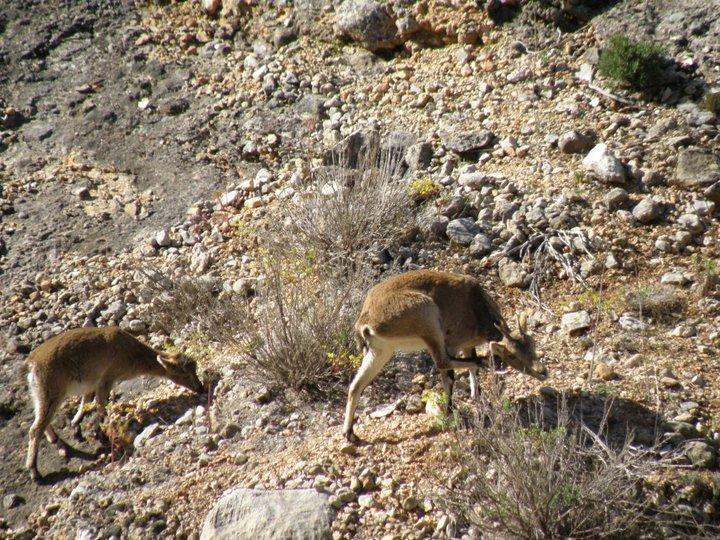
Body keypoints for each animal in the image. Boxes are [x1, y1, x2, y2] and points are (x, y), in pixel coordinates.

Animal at [344, 270, 544, 442]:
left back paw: (350, 434)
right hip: (428, 320)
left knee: (356, 385)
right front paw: (450, 410)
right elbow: (449, 374)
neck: (475, 306)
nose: (543, 372)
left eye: (533, 344)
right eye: (512, 355)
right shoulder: (451, 343)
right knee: (442, 362)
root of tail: (365, 322)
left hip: (381, 350)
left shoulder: (467, 345)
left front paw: (475, 395)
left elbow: (469, 373)